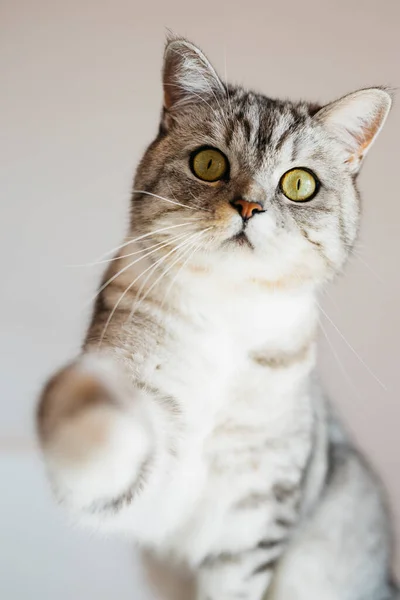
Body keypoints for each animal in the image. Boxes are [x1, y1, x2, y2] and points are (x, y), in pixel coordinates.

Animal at [36, 36, 396, 600]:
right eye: (208, 163)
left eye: (299, 184)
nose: (248, 207)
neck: (227, 314)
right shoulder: (152, 485)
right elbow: (108, 442)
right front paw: (89, 411)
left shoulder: (254, 511)